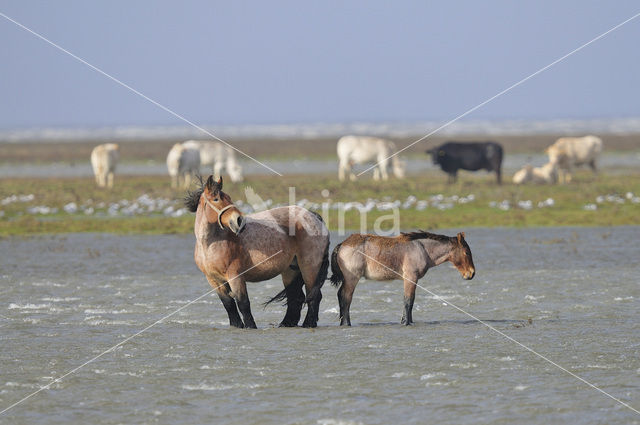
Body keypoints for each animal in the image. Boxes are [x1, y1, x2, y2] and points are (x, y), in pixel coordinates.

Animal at [182, 176, 328, 328]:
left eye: (228, 197)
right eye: (216, 199)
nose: (239, 220)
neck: (210, 245)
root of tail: (314, 217)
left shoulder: (235, 277)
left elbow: (243, 303)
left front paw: (250, 326)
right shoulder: (214, 280)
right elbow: (228, 305)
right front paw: (236, 326)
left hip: (309, 267)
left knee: (314, 295)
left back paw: (308, 324)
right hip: (291, 270)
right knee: (295, 298)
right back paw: (286, 324)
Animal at [330, 232, 476, 324]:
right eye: (466, 252)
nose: (471, 273)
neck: (423, 249)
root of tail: (342, 244)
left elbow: (410, 301)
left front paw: (408, 321)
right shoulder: (411, 277)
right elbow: (408, 301)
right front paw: (406, 322)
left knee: (340, 295)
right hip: (352, 279)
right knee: (346, 297)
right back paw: (346, 323)